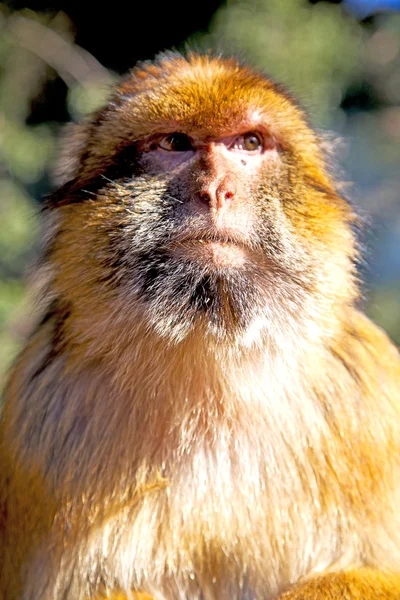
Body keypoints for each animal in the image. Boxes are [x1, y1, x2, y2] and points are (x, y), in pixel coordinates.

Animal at [0, 52, 400, 600]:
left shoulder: (374, 398)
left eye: (249, 143)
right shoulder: (35, 420)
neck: (210, 356)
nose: (216, 191)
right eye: (175, 144)